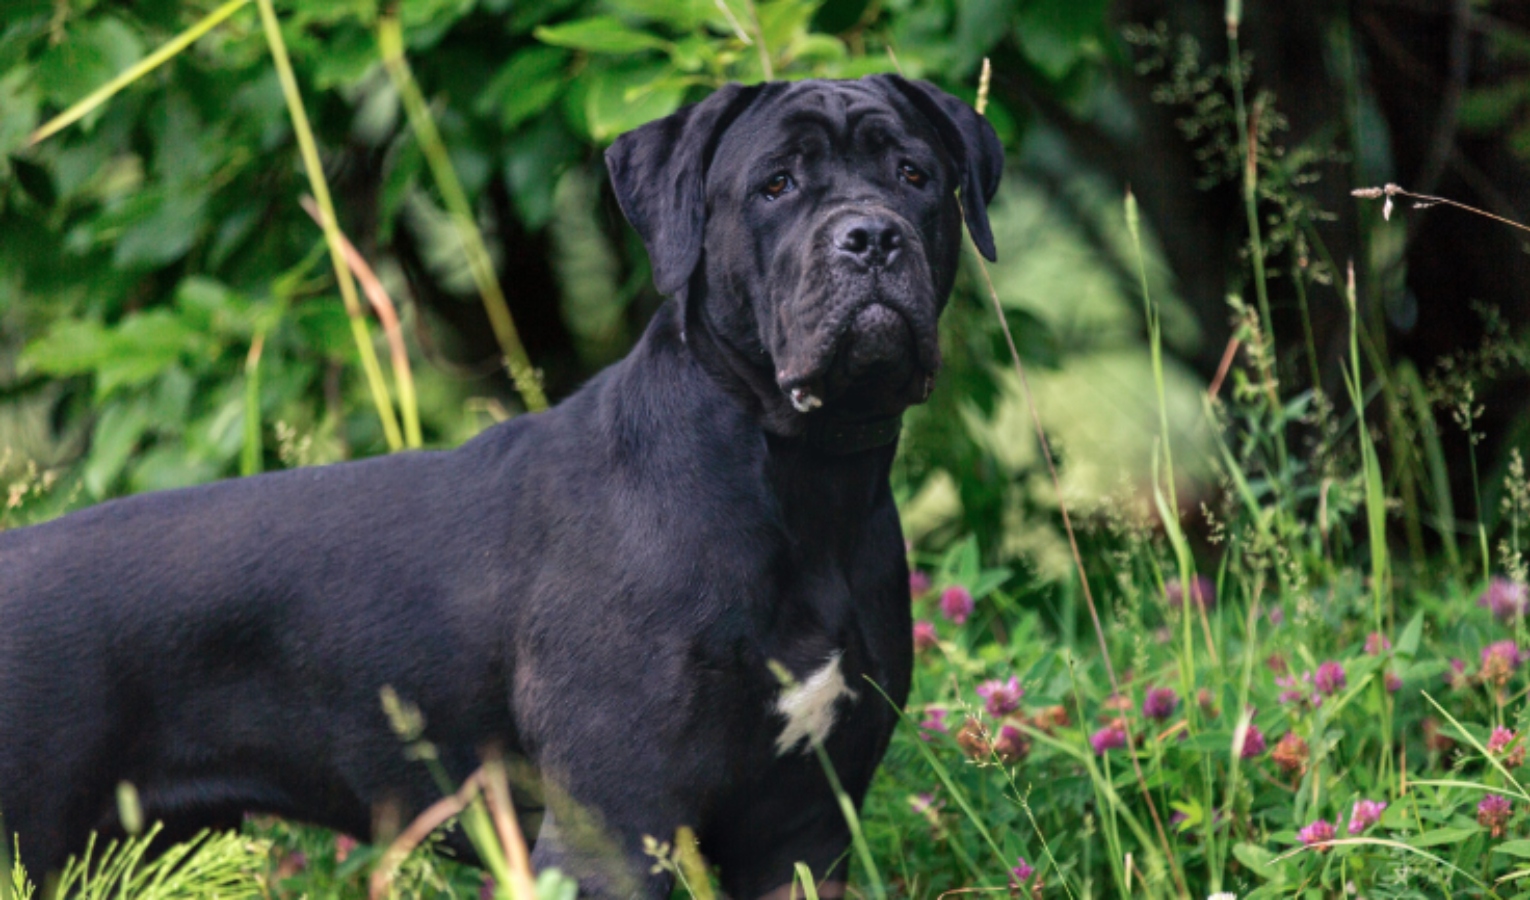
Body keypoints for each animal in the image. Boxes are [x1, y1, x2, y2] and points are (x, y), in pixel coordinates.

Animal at [0, 73, 1003, 893]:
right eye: (777, 185)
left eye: (915, 175)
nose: (870, 237)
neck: (799, 475)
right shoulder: (616, 822)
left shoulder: (803, 829)